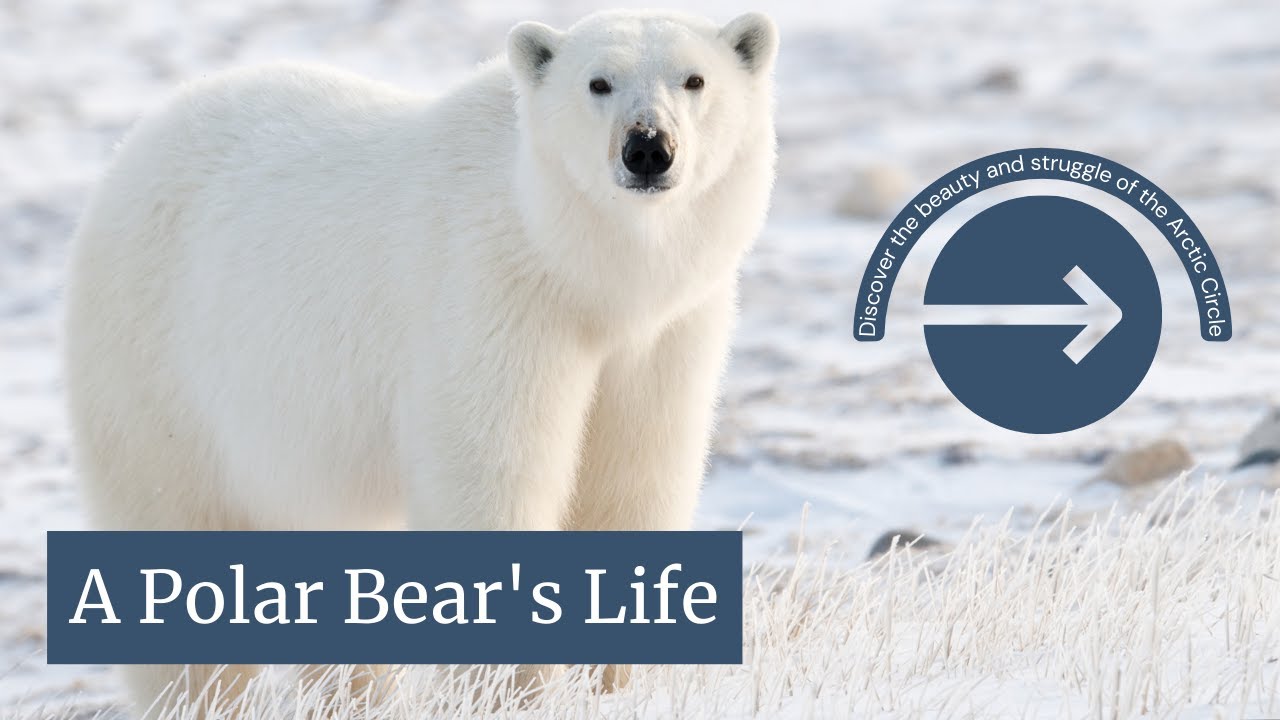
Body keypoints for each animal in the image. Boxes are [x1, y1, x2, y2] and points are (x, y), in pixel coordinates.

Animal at [63, 9, 778, 716]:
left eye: (695, 79)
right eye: (598, 82)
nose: (648, 147)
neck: (578, 268)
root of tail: (137, 142)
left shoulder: (666, 334)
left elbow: (634, 478)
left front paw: (616, 685)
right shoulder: (491, 297)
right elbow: (495, 479)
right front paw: (509, 692)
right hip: (157, 370)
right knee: (172, 534)